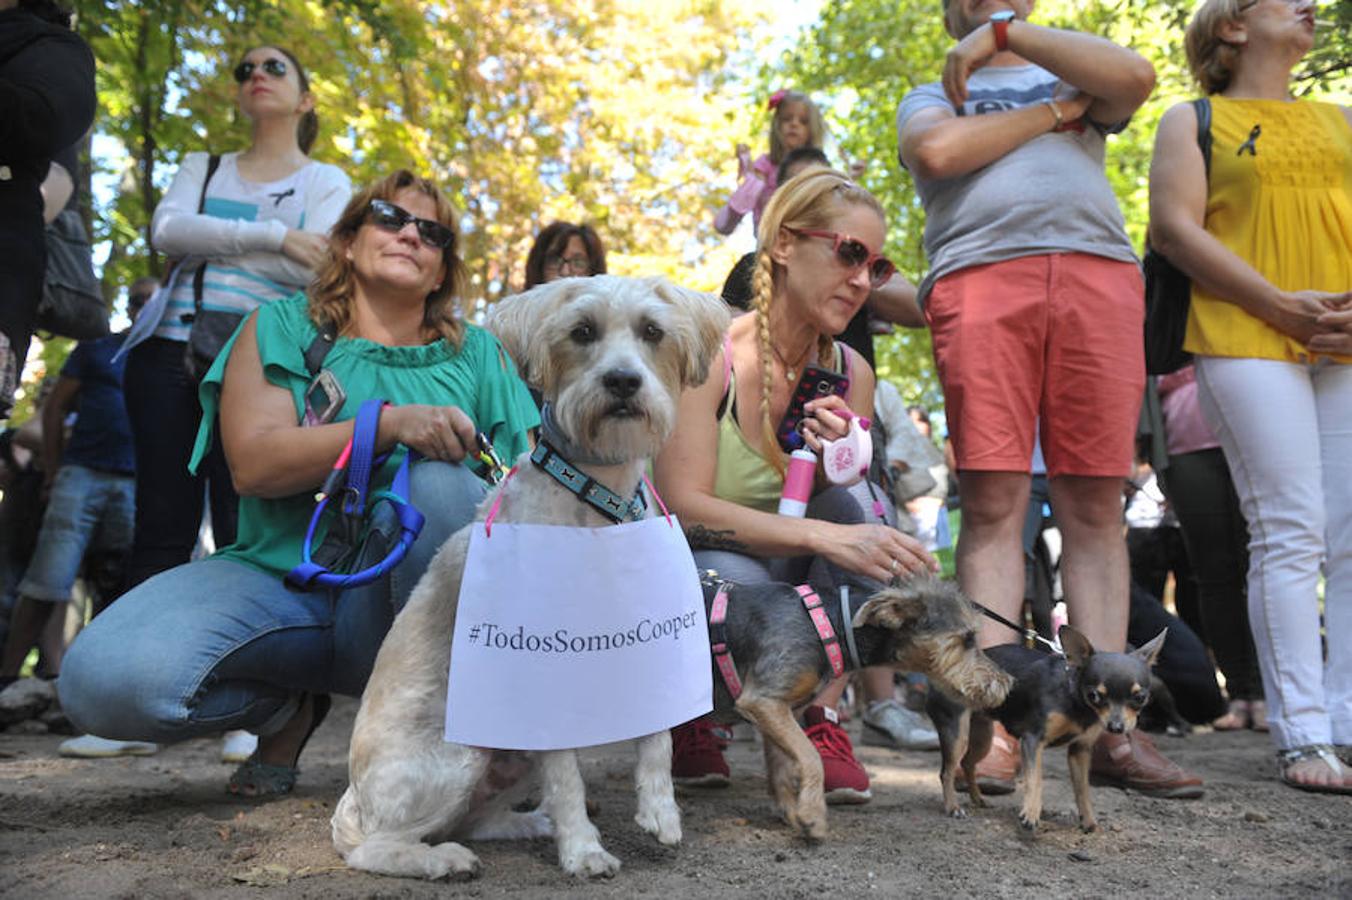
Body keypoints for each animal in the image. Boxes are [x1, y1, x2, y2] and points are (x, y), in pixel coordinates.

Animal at [328, 272, 730, 875]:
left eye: (653, 331)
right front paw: (584, 851)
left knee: (475, 819)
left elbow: (656, 737)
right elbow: (566, 775)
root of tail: (353, 800)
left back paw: (529, 824)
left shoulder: (644, 642)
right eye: (581, 331)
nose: (622, 381)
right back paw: (444, 859)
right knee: (376, 847)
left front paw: (660, 812)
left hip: (505, 761)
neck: (597, 500)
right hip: (457, 755)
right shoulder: (543, 674)